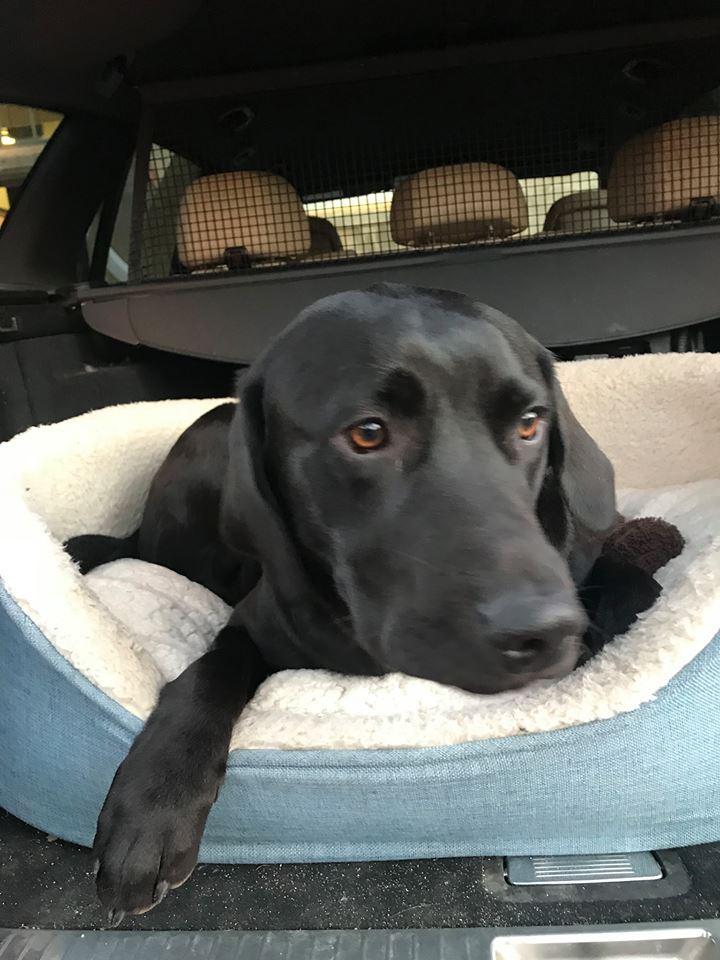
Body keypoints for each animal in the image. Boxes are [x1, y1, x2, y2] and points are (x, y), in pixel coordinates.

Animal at [70, 284, 632, 924]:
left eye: (530, 424)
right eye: (367, 433)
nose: (541, 631)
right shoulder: (252, 624)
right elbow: (205, 673)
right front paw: (154, 806)